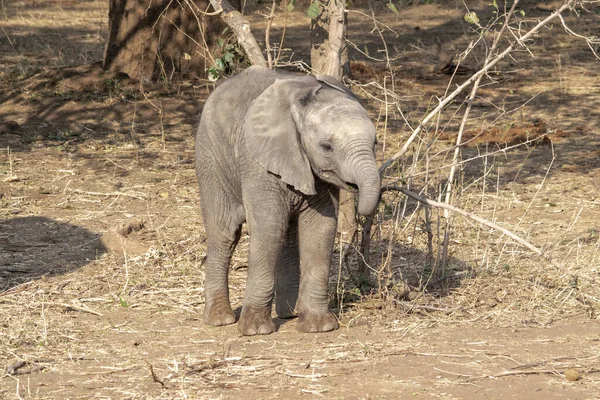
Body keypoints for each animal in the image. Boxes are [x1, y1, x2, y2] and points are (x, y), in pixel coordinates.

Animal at [195, 65, 380, 334]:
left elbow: (320, 229)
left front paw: (319, 327)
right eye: (326, 147)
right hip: (211, 158)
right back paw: (220, 320)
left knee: (288, 236)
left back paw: (290, 314)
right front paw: (256, 331)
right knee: (224, 233)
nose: (355, 186)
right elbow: (268, 226)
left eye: (375, 143)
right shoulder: (257, 163)